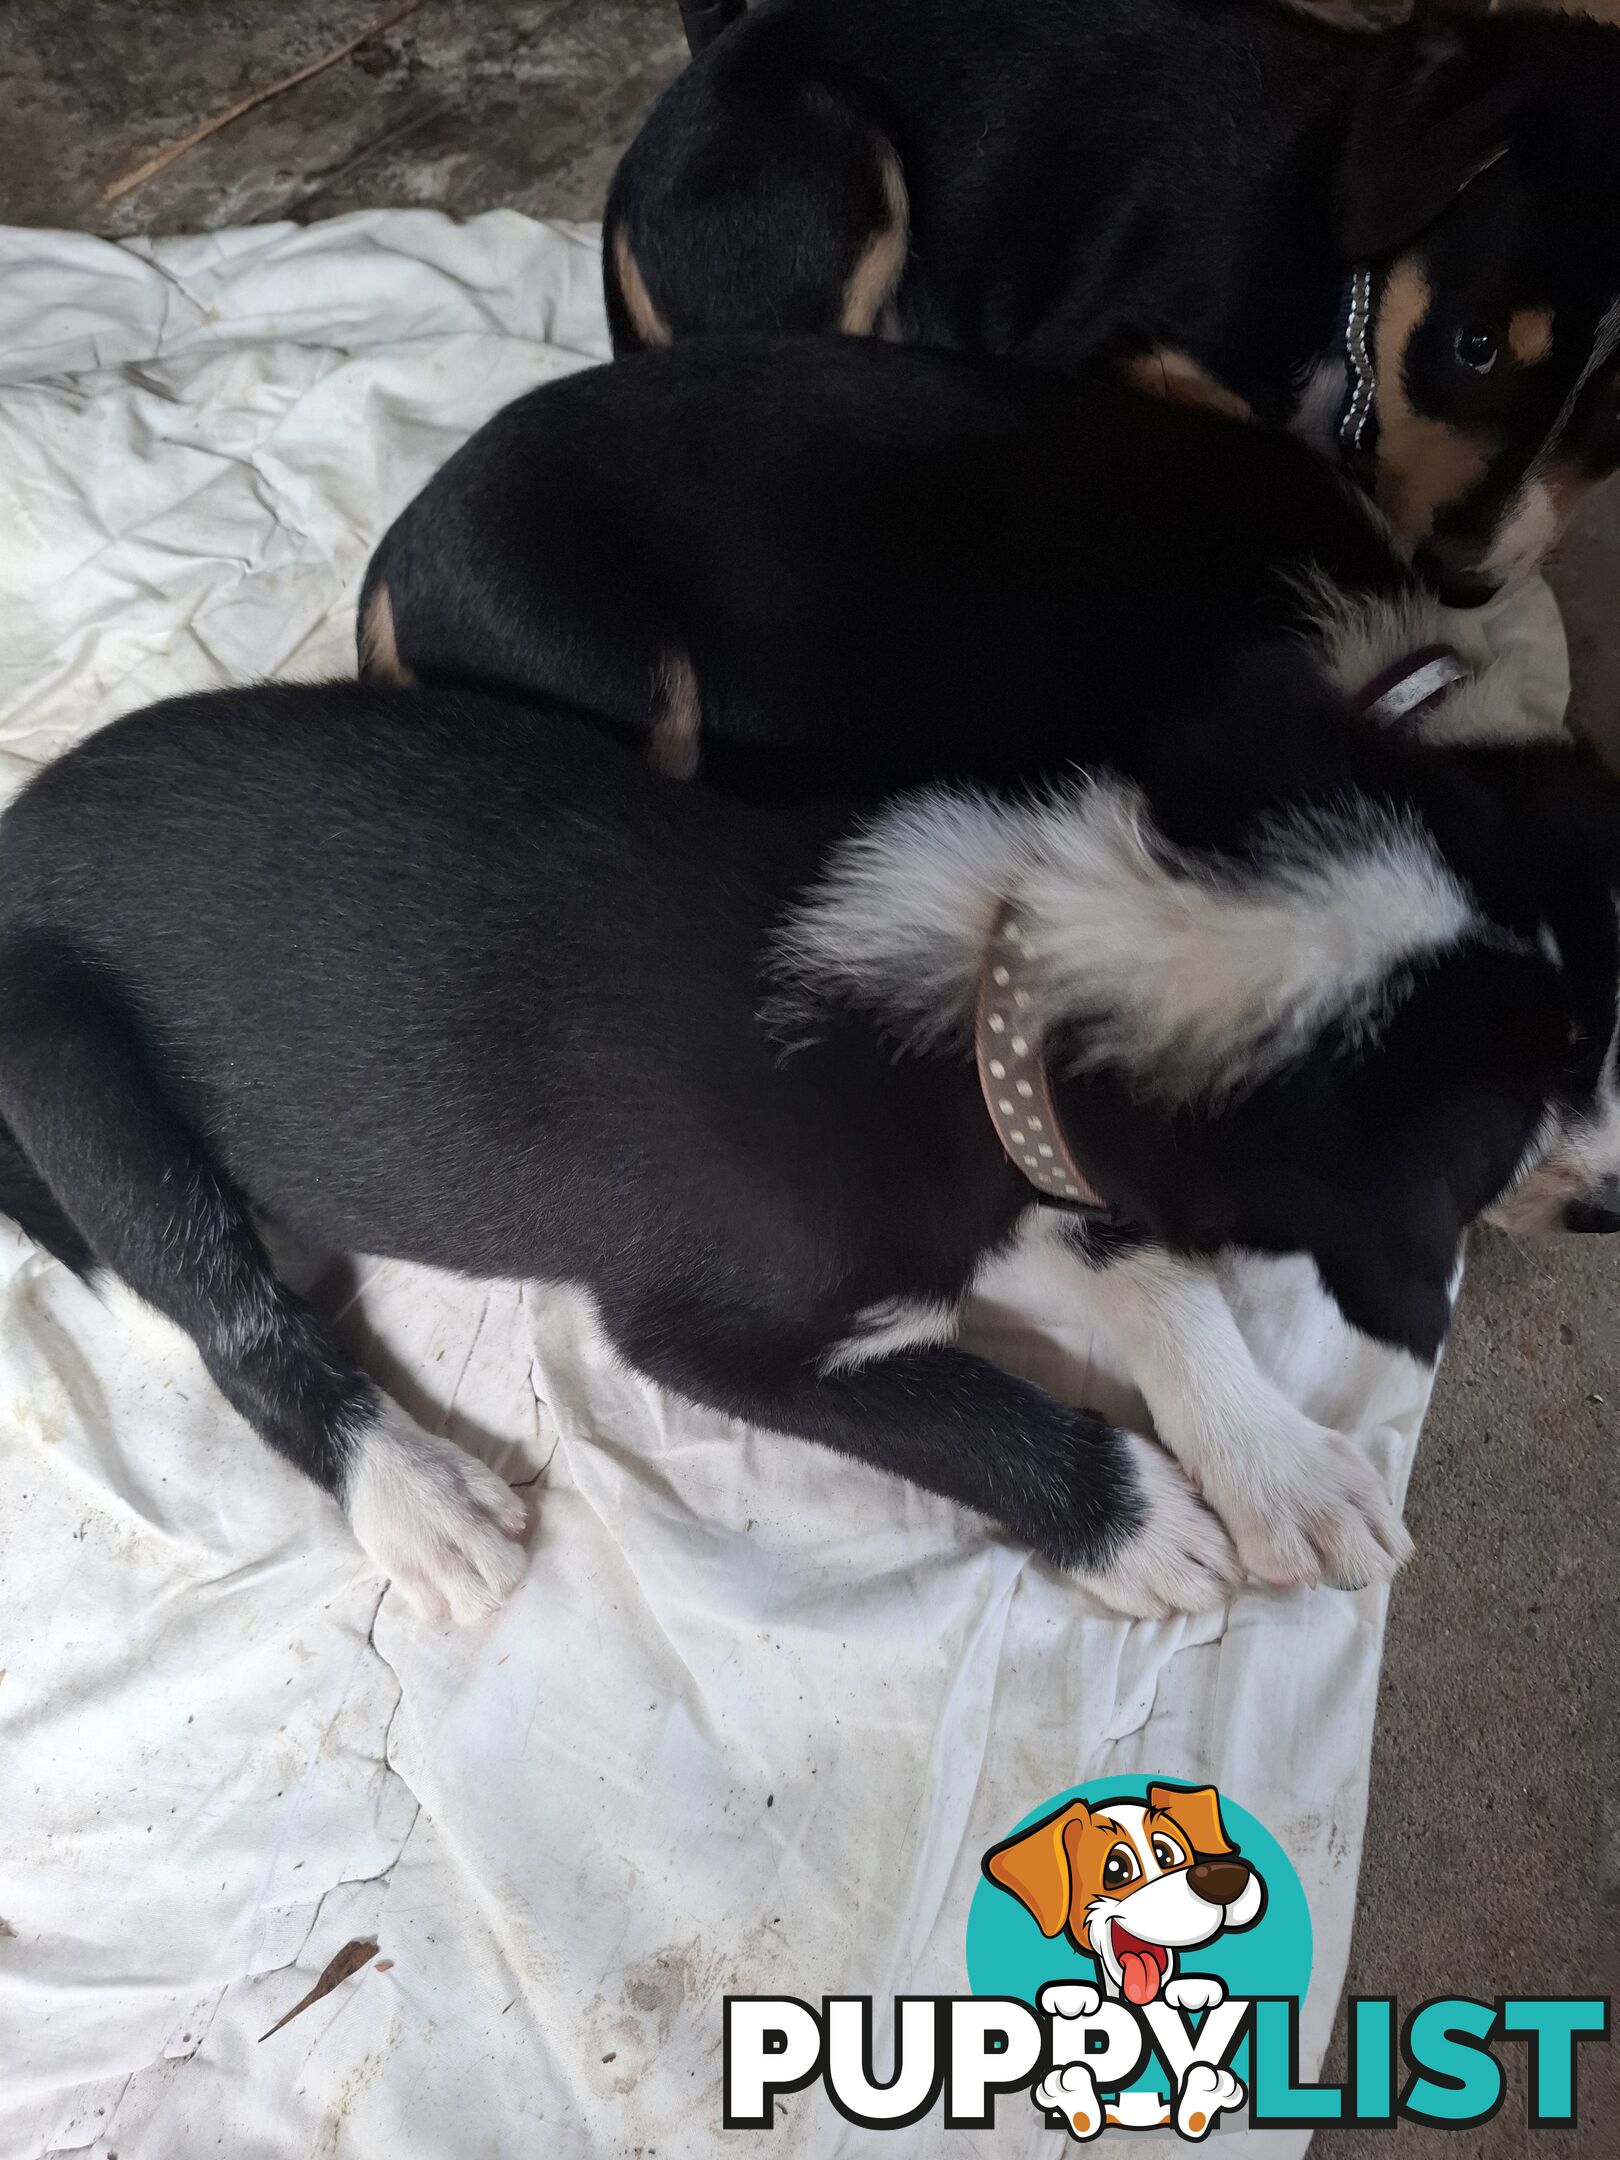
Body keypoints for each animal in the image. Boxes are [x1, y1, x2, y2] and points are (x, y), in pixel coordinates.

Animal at [3, 673, 1615, 1624]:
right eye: (1531, 1118)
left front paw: (1276, 1467)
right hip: (73, 1071)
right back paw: (415, 1495)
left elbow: (1158, 1277)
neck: (995, 990)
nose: (1606, 1205)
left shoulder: (1045, 1152)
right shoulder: (704, 1331)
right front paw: (1140, 1515)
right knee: (227, 1316)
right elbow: (952, 1400)